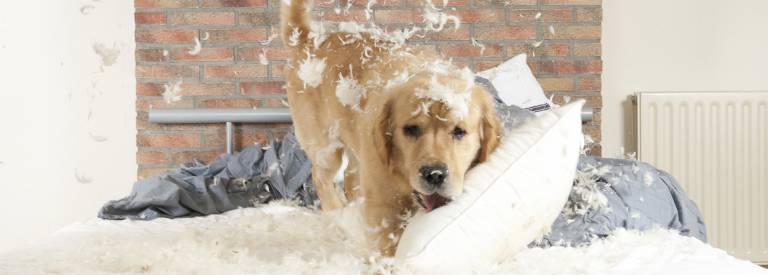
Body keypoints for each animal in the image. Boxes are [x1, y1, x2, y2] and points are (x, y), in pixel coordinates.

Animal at [280, 0, 500, 256]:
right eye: (411, 129)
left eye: (459, 131)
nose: (434, 174)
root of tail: (310, 39)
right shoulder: (382, 206)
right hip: (326, 147)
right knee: (321, 178)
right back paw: (338, 215)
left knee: (350, 178)